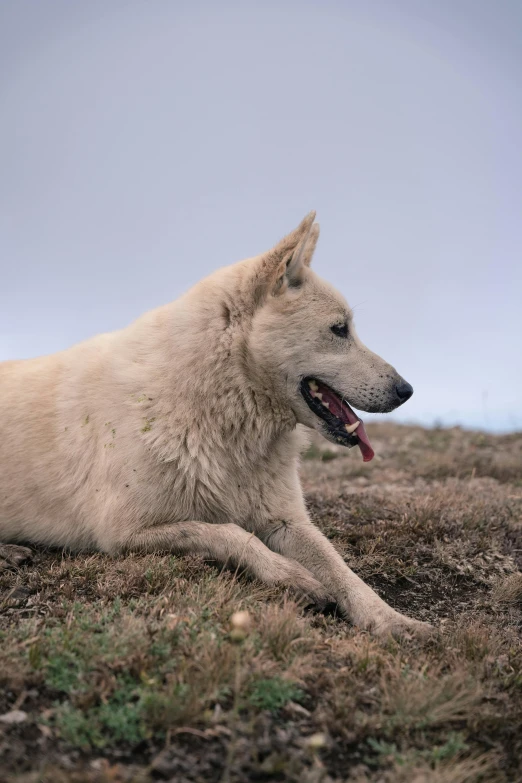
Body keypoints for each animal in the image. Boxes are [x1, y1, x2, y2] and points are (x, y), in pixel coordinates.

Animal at [0, 213, 430, 636]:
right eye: (339, 329)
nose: (406, 390)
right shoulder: (125, 534)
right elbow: (231, 533)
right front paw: (291, 576)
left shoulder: (287, 522)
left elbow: (343, 570)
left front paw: (393, 620)